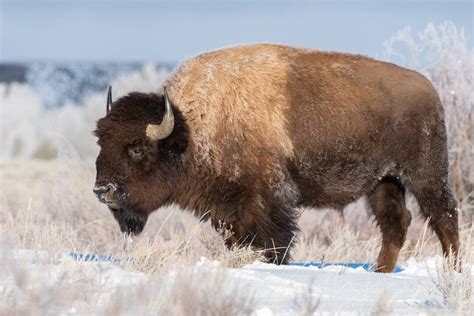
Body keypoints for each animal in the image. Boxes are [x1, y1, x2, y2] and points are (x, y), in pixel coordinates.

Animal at [92, 43, 460, 272]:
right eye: (100, 142)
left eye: (137, 148)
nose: (101, 190)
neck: (189, 129)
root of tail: (429, 89)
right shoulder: (228, 211)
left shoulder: (268, 201)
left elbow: (275, 244)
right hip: (383, 182)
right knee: (396, 224)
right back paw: (379, 272)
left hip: (424, 176)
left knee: (444, 217)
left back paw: (453, 270)